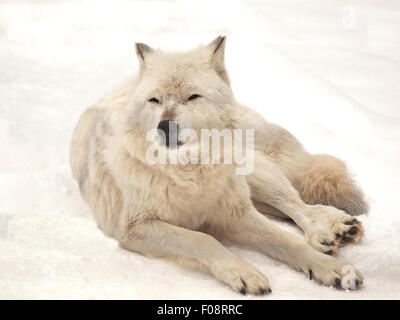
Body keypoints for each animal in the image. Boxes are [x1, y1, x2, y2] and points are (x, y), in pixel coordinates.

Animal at [69, 36, 368, 294]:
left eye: (193, 97)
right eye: (154, 100)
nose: (165, 126)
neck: (189, 173)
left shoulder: (236, 213)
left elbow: (289, 242)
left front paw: (331, 268)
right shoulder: (135, 227)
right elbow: (204, 239)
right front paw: (245, 272)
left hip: (255, 174)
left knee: (297, 205)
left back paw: (333, 230)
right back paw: (336, 232)